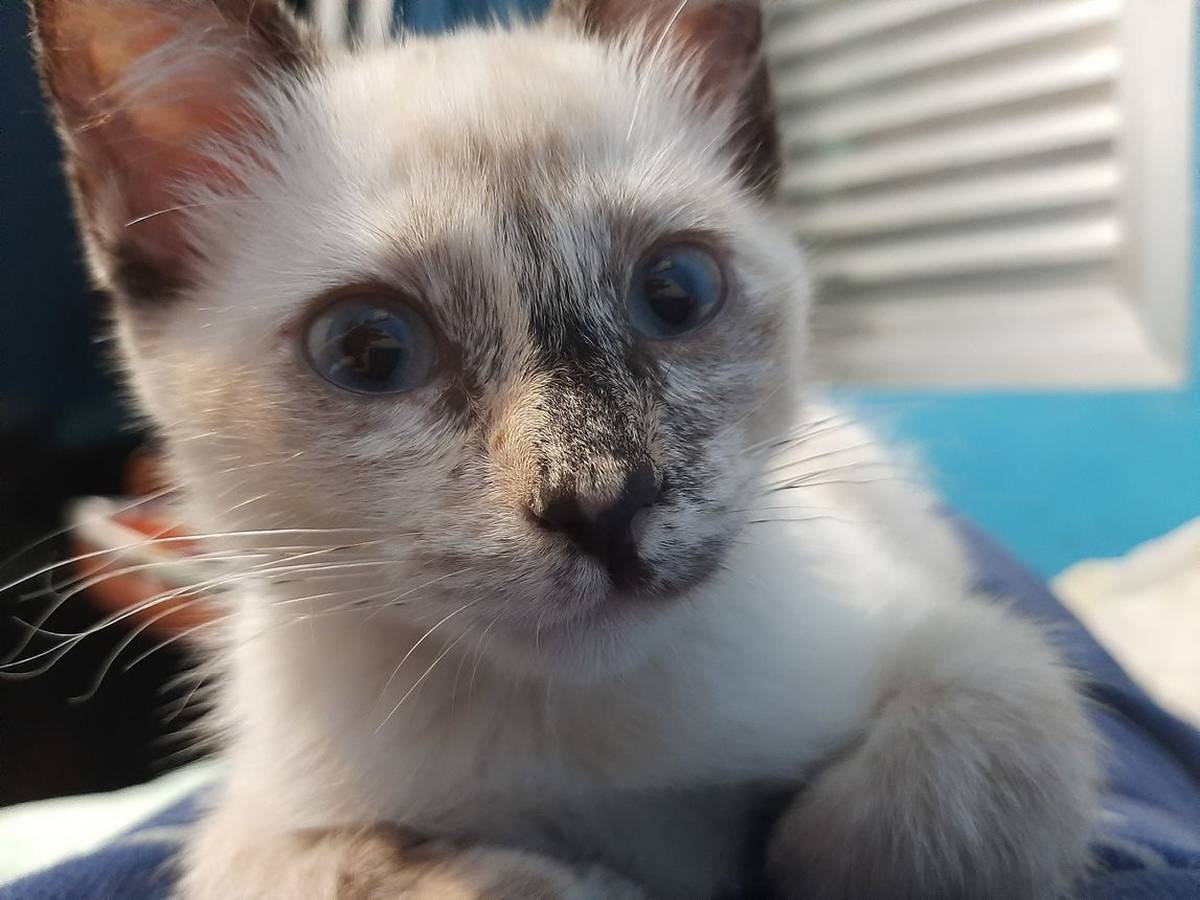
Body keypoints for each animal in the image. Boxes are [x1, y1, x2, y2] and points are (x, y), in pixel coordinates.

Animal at [31, 0, 1101, 897]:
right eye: (370, 350)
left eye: (676, 292)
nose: (606, 505)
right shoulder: (260, 830)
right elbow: (442, 878)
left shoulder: (951, 637)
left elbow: (966, 752)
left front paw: (801, 863)